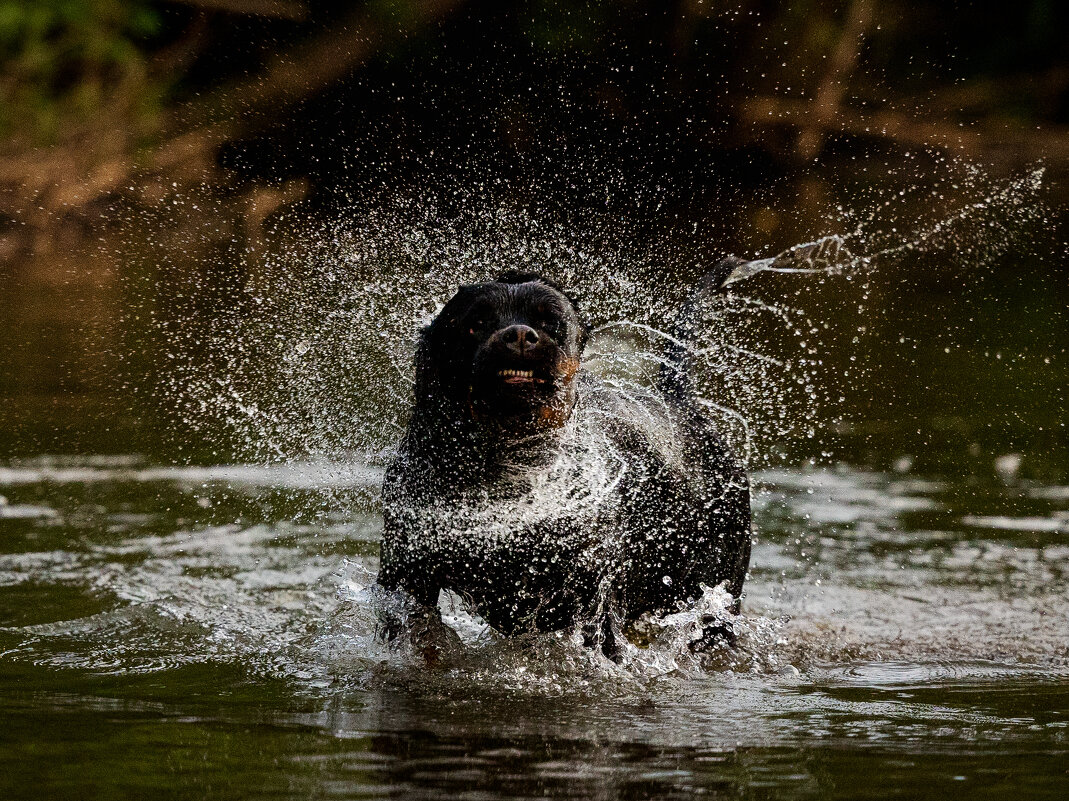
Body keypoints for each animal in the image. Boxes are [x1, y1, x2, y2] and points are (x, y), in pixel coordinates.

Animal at [376, 265, 752, 654]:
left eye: (551, 321)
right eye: (476, 322)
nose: (519, 334)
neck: (510, 466)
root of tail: (679, 402)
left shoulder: (589, 597)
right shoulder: (406, 575)